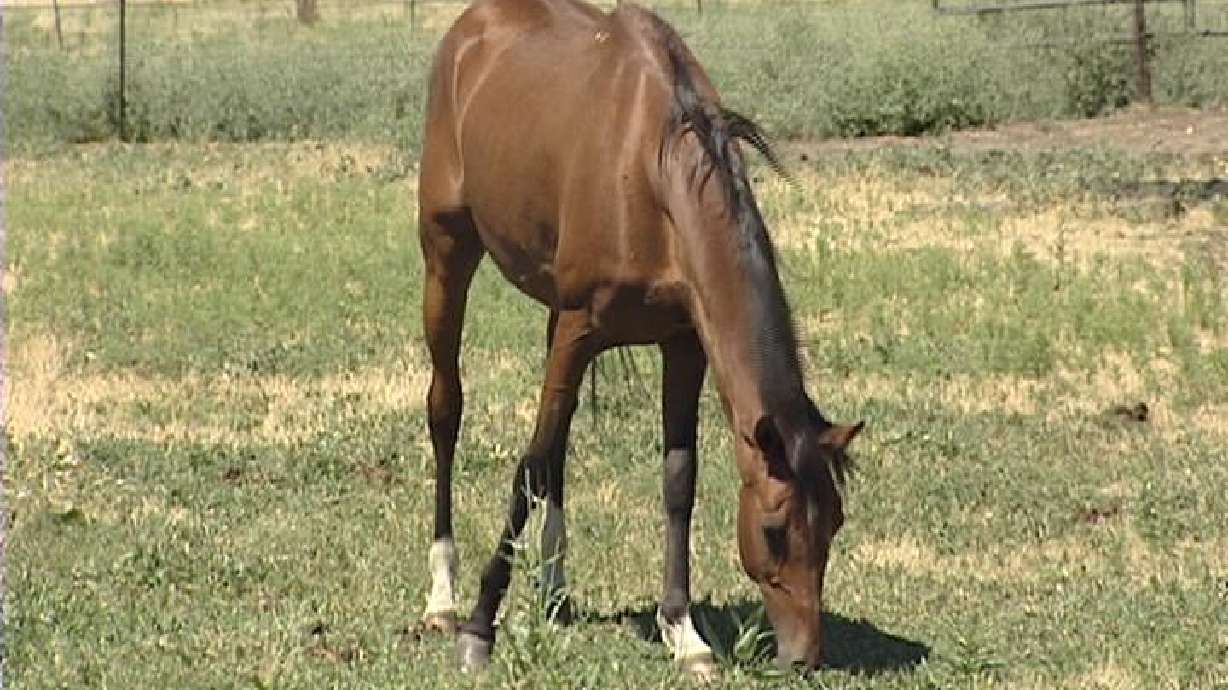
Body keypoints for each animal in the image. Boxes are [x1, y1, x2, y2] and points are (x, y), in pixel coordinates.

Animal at [416, 0, 863, 675]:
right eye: (774, 531)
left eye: (834, 523)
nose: (803, 656)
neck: (653, 172)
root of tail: (469, 31)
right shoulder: (581, 327)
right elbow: (528, 465)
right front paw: (479, 626)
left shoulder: (683, 345)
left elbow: (678, 477)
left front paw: (684, 631)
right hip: (448, 258)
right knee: (447, 411)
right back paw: (442, 597)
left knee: (559, 441)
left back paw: (554, 589)